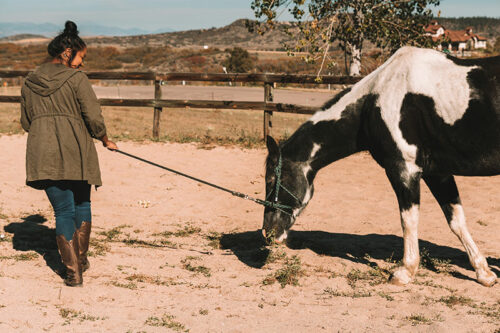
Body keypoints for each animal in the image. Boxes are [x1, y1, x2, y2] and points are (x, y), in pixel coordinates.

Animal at [264, 46, 498, 286]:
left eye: (271, 180)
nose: (268, 231)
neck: (375, 101)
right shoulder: (437, 173)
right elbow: (456, 220)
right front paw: (483, 273)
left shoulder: (404, 170)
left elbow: (409, 220)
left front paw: (405, 271)